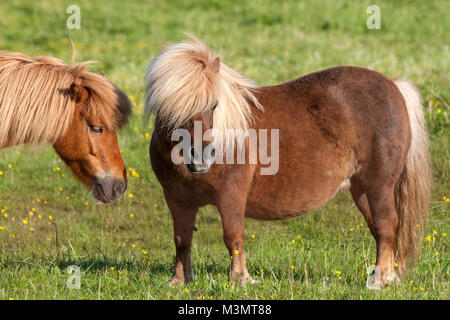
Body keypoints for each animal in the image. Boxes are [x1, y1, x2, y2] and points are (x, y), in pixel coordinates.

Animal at [146, 37, 430, 288]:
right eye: (172, 111)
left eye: (214, 105)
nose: (201, 159)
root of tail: (394, 86)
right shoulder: (177, 199)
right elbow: (182, 239)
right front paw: (178, 281)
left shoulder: (231, 195)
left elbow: (232, 236)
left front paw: (239, 280)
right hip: (361, 189)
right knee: (381, 230)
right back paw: (387, 276)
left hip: (379, 186)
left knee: (386, 225)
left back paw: (380, 279)